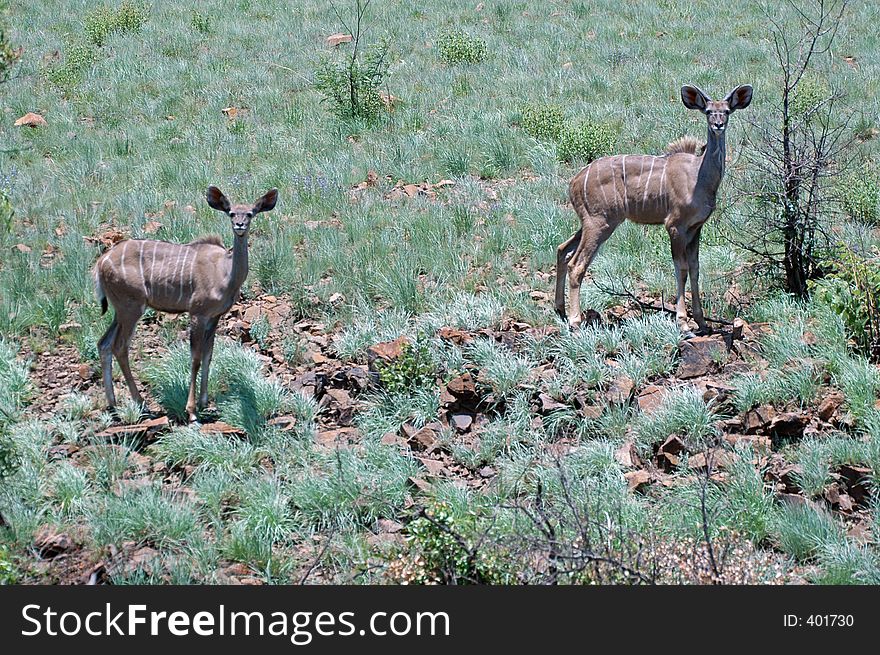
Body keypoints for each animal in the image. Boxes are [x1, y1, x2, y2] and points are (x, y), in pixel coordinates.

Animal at [95, 187, 278, 422]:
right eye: (231, 213)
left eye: (250, 214)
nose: (239, 226)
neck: (225, 272)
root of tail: (101, 262)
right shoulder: (197, 313)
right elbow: (196, 358)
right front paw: (191, 411)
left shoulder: (215, 317)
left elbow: (209, 355)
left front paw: (204, 403)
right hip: (131, 307)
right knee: (119, 346)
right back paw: (141, 402)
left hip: (120, 310)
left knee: (104, 343)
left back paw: (113, 405)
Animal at [556, 84, 748, 336]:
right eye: (707, 111)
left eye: (726, 111)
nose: (718, 125)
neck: (699, 177)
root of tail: (573, 183)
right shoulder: (675, 226)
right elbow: (681, 268)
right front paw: (683, 323)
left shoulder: (696, 228)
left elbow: (695, 268)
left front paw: (703, 323)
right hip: (599, 223)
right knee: (576, 264)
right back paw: (575, 322)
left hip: (590, 222)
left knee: (562, 250)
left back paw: (560, 310)